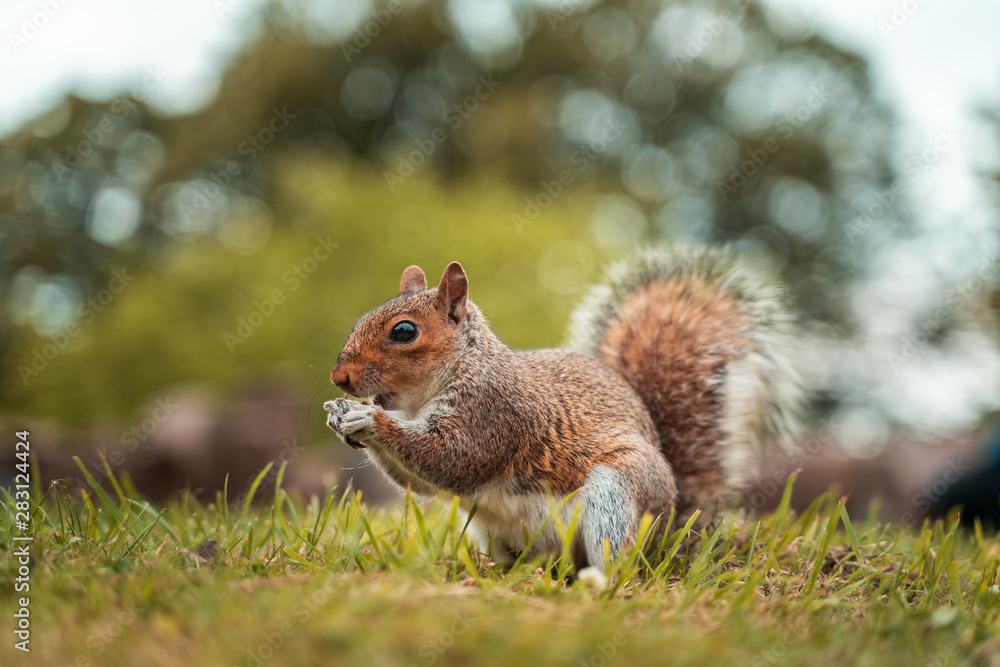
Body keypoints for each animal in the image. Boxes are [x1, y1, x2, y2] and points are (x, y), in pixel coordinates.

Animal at [325, 245, 801, 570]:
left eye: (404, 331)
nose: (339, 379)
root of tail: (670, 526)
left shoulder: (494, 414)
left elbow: (454, 460)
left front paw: (369, 418)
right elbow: (422, 483)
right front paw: (338, 414)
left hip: (618, 493)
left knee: (618, 559)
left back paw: (598, 581)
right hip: (489, 527)